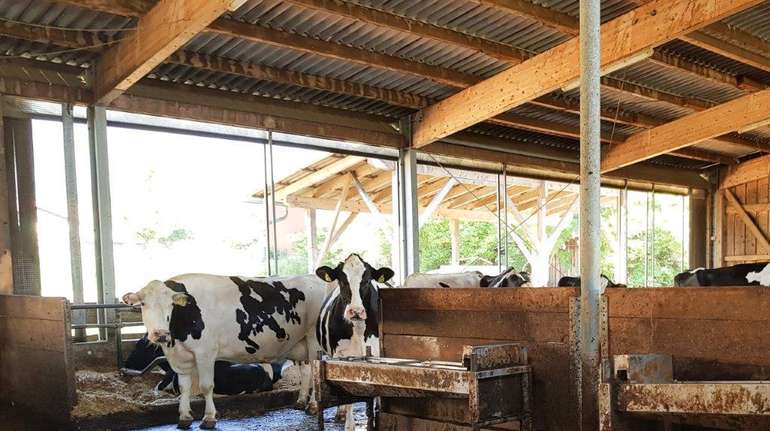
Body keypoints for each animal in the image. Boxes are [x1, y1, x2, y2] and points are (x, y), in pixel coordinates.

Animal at [316, 255, 392, 431]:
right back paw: (341, 412)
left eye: (367, 280)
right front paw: (349, 425)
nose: (356, 311)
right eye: (342, 280)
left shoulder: (376, 354)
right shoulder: (341, 356)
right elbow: (348, 395)